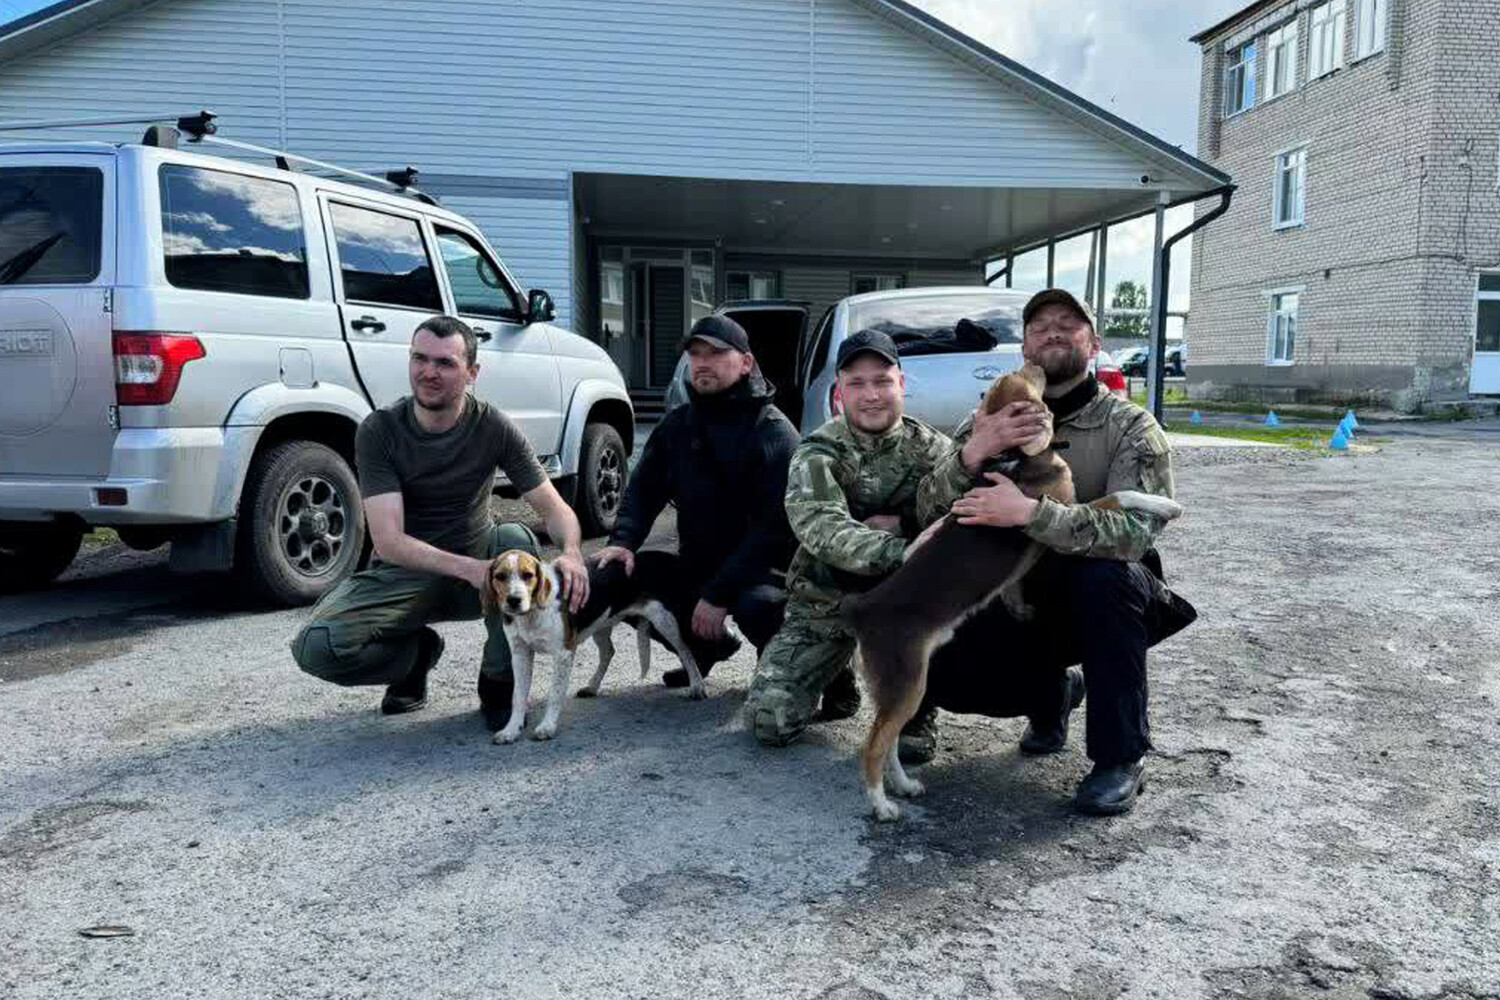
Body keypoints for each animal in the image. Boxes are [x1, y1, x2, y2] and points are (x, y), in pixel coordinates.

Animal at [483, 551, 711, 746]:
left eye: (528, 575)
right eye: (500, 576)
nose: (514, 600)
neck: (531, 615)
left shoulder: (563, 654)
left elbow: (555, 694)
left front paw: (547, 726)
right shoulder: (520, 655)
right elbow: (518, 696)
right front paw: (511, 730)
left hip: (665, 621)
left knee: (686, 651)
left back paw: (696, 686)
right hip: (600, 625)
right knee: (609, 652)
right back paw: (592, 686)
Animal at [846, 364, 1182, 815]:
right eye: (1024, 374)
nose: (1035, 363)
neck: (1014, 458)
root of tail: (863, 609)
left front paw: (1019, 607)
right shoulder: (1070, 507)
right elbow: (1123, 494)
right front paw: (1166, 506)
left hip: (903, 686)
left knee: (890, 743)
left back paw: (903, 785)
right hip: (905, 683)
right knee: (873, 747)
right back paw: (881, 805)